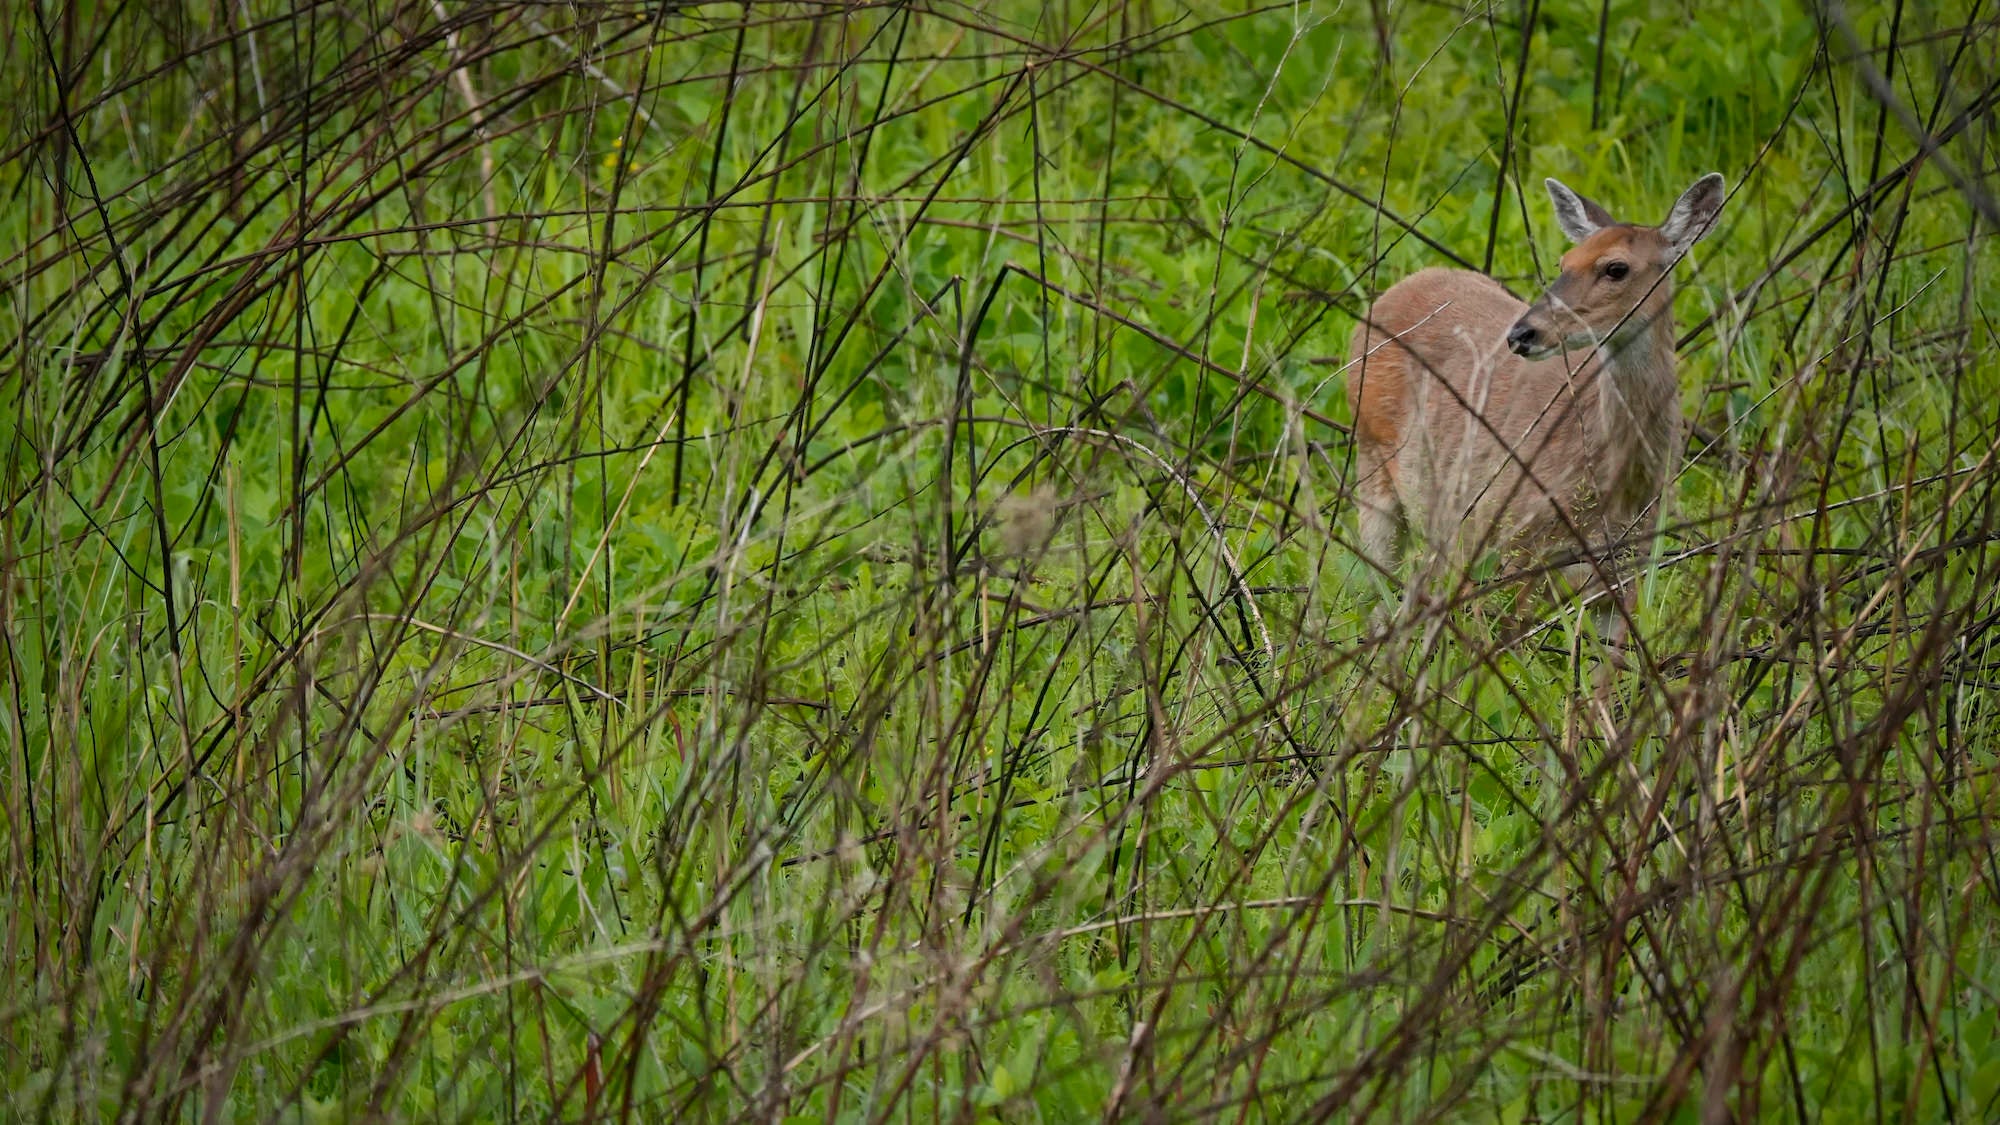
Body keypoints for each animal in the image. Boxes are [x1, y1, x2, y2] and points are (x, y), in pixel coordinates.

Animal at [1345, 173, 1726, 640]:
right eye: (1563, 262)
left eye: (1616, 268)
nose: (1522, 333)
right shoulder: (1513, 541)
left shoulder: (1625, 569)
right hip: (1374, 465)